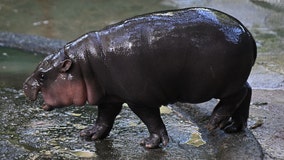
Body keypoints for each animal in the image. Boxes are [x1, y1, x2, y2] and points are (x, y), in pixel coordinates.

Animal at [23, 7, 256, 149]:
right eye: (39, 67)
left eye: (42, 75)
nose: (25, 85)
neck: (83, 64)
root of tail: (248, 33)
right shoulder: (110, 96)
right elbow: (104, 118)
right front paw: (89, 135)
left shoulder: (139, 99)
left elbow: (152, 120)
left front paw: (150, 144)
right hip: (233, 79)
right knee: (248, 91)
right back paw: (233, 127)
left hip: (217, 84)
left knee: (238, 95)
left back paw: (213, 123)